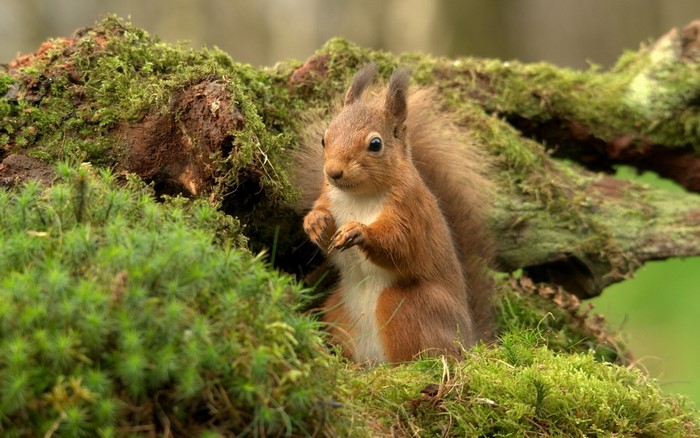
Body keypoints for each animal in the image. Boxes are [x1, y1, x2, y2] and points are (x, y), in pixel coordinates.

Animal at [295, 63, 494, 365]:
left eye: (375, 144)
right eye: (323, 139)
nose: (333, 172)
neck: (359, 197)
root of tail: (467, 339)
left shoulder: (410, 211)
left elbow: (400, 244)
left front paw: (359, 231)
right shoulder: (328, 197)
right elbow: (322, 216)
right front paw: (315, 223)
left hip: (406, 307)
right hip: (338, 311)